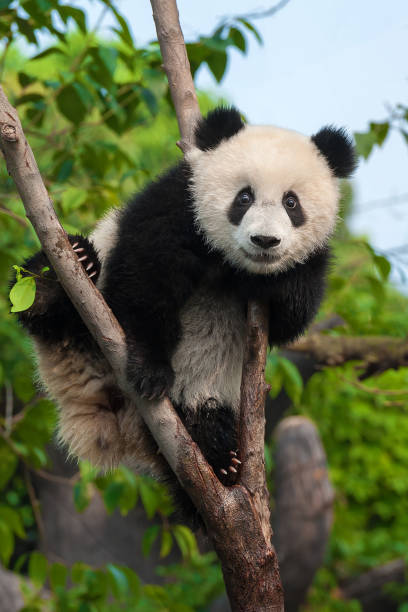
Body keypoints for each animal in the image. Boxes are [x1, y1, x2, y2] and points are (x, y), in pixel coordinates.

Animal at [15, 107, 354, 524]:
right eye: (244, 197)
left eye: (292, 203)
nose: (265, 241)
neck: (232, 264)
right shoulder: (179, 204)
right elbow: (146, 277)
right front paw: (151, 370)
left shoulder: (311, 262)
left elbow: (292, 317)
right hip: (80, 325)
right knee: (51, 300)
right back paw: (65, 272)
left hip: (204, 400)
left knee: (203, 426)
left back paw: (218, 458)